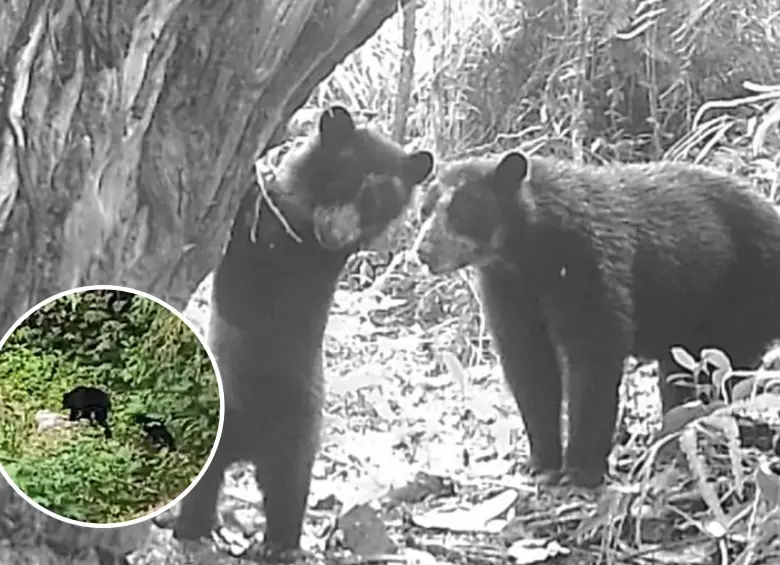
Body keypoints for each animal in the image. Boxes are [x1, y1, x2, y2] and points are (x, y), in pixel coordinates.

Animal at [171, 106, 434, 558]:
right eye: (342, 177)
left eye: (378, 203)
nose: (338, 233)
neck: (307, 232)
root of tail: (248, 445)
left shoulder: (288, 266)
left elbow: (246, 274)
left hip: (296, 429)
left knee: (288, 487)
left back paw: (273, 543)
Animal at [415, 150, 780, 488]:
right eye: (424, 209)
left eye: (463, 209)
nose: (423, 251)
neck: (526, 255)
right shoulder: (509, 292)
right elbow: (529, 365)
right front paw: (541, 462)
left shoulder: (586, 263)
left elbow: (593, 356)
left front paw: (581, 469)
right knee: (679, 378)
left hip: (742, 295)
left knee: (722, 372)